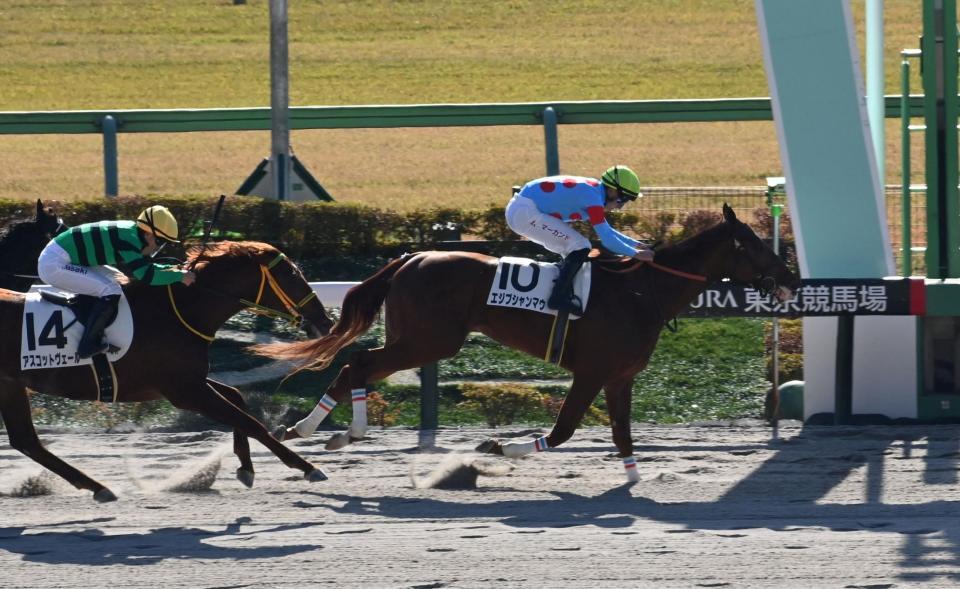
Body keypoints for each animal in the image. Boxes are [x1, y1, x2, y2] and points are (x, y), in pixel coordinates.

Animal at [0, 240, 335, 501]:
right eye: (293, 274)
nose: (326, 321)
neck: (181, 311)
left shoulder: (188, 382)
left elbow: (236, 398)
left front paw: (246, 467)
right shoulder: (184, 391)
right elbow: (249, 420)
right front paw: (307, 467)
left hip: (11, 384)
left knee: (26, 441)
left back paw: (98, 487)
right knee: (26, 441)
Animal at [262, 204, 800, 481]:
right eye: (754, 244)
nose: (791, 277)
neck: (641, 291)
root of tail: (411, 258)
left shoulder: (620, 377)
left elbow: (623, 433)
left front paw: (633, 479)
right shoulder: (592, 371)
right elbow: (563, 430)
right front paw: (501, 446)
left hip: (417, 339)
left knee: (356, 364)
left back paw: (319, 431)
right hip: (428, 342)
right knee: (359, 362)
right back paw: (331, 430)